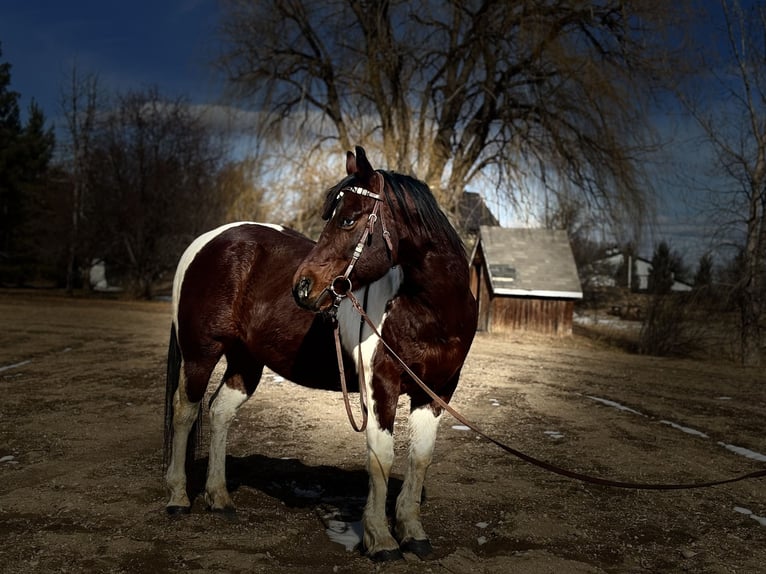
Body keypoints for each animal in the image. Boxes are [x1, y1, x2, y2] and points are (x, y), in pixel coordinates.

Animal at [163, 146, 478, 561]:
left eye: (348, 219)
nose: (302, 287)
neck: (427, 310)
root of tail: (208, 241)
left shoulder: (438, 392)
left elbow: (420, 457)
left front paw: (414, 534)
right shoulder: (381, 387)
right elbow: (381, 456)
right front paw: (381, 540)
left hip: (246, 362)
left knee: (219, 412)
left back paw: (219, 498)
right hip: (201, 352)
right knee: (185, 411)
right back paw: (178, 498)